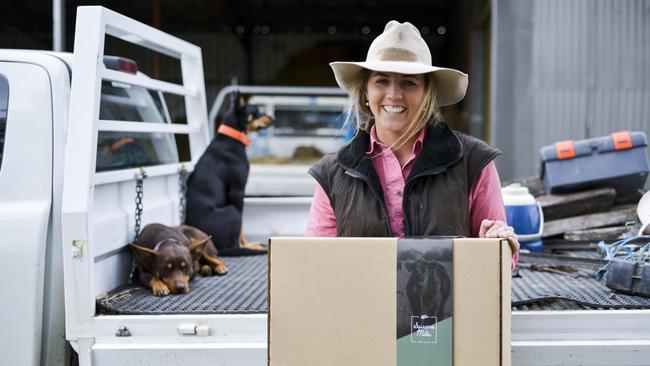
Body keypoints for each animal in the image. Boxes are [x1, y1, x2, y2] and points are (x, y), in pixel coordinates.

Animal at [185, 91, 270, 254]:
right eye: (255, 111)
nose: (272, 118)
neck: (231, 138)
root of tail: (218, 249)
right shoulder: (237, 192)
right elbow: (241, 230)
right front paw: (247, 244)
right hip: (232, 212)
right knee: (234, 244)